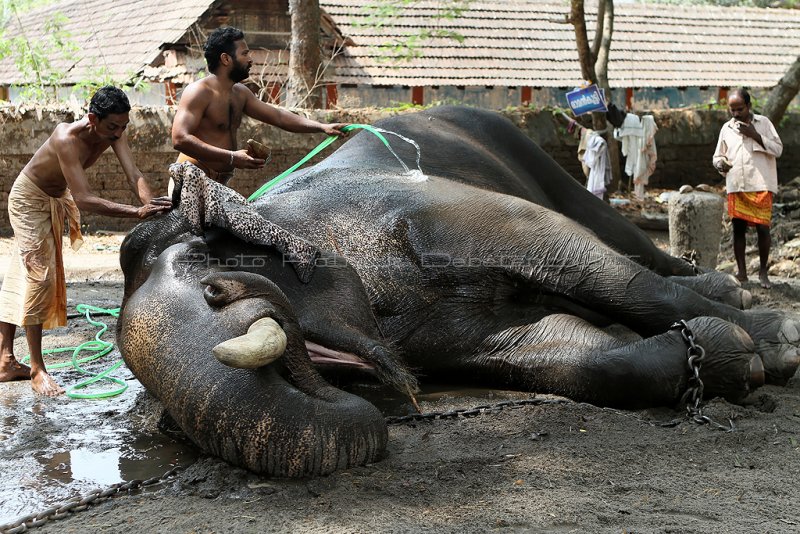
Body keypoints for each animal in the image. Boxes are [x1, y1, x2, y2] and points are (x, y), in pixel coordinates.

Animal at [120, 104, 800, 478]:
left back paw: (737, 297)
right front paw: (733, 358)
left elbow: (565, 250)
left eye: (210, 284)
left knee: (613, 234)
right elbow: (559, 350)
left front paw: (774, 343)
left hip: (529, 151)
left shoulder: (436, 211)